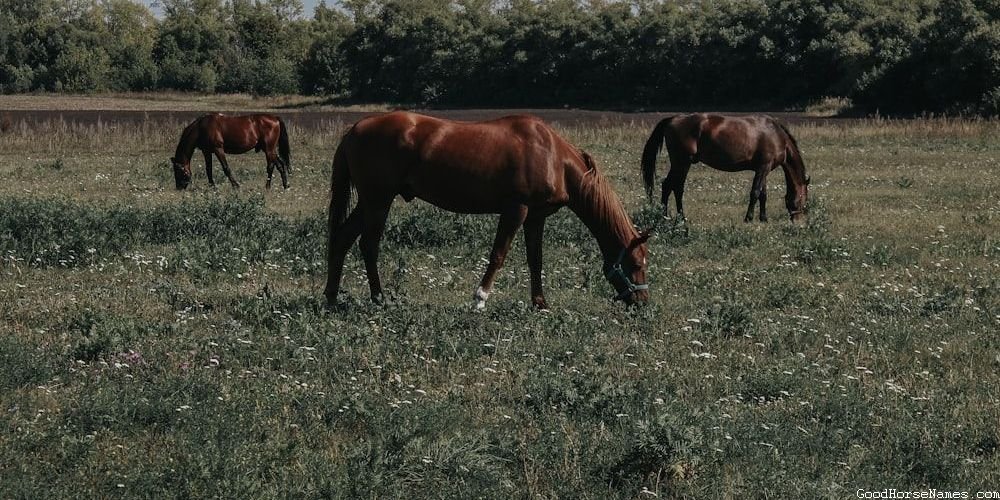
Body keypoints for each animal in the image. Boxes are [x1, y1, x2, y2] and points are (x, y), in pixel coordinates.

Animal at [324, 111, 652, 310]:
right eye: (636, 263)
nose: (642, 301)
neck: (553, 157)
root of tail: (355, 129)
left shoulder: (536, 217)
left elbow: (536, 260)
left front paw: (540, 304)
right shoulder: (516, 210)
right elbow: (498, 255)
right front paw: (479, 299)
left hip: (369, 203)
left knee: (342, 240)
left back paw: (331, 297)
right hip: (378, 201)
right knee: (369, 245)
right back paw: (379, 298)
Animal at [640, 114, 812, 224]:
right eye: (803, 200)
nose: (797, 220)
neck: (775, 134)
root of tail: (673, 119)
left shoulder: (763, 169)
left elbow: (763, 195)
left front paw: (763, 219)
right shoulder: (763, 168)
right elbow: (755, 193)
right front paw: (748, 218)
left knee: (668, 186)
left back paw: (666, 217)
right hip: (682, 163)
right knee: (675, 187)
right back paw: (677, 217)